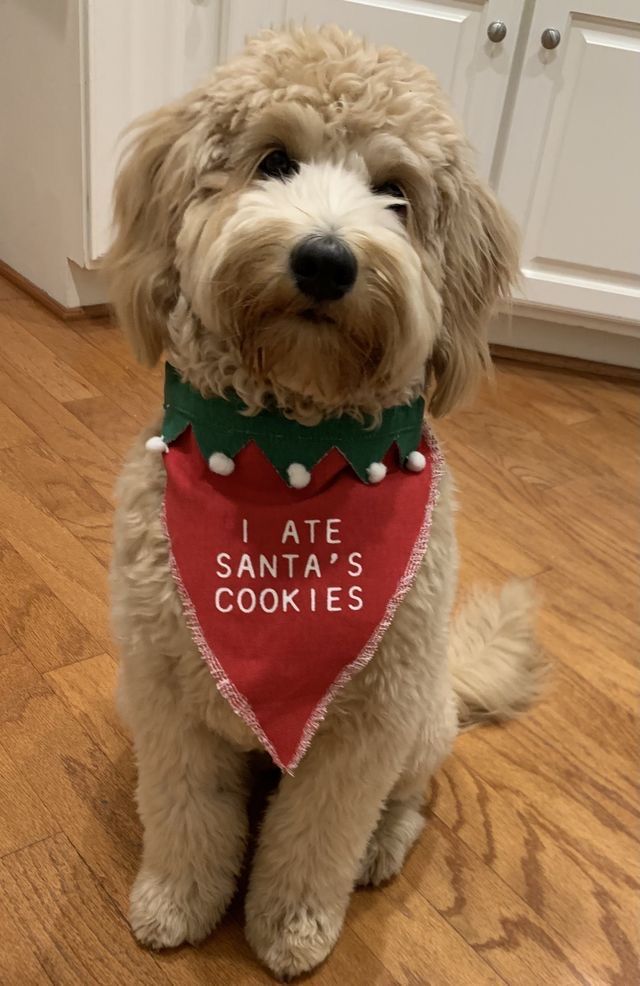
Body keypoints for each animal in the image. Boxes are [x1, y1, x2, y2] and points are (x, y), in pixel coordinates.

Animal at [106, 23, 544, 976]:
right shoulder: (164, 696)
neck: (287, 460)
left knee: (408, 800)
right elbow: (186, 811)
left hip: (421, 719)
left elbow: (315, 836)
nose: (325, 259)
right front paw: (176, 899)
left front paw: (292, 926)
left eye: (396, 194)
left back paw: (382, 845)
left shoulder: (363, 729)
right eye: (273, 160)